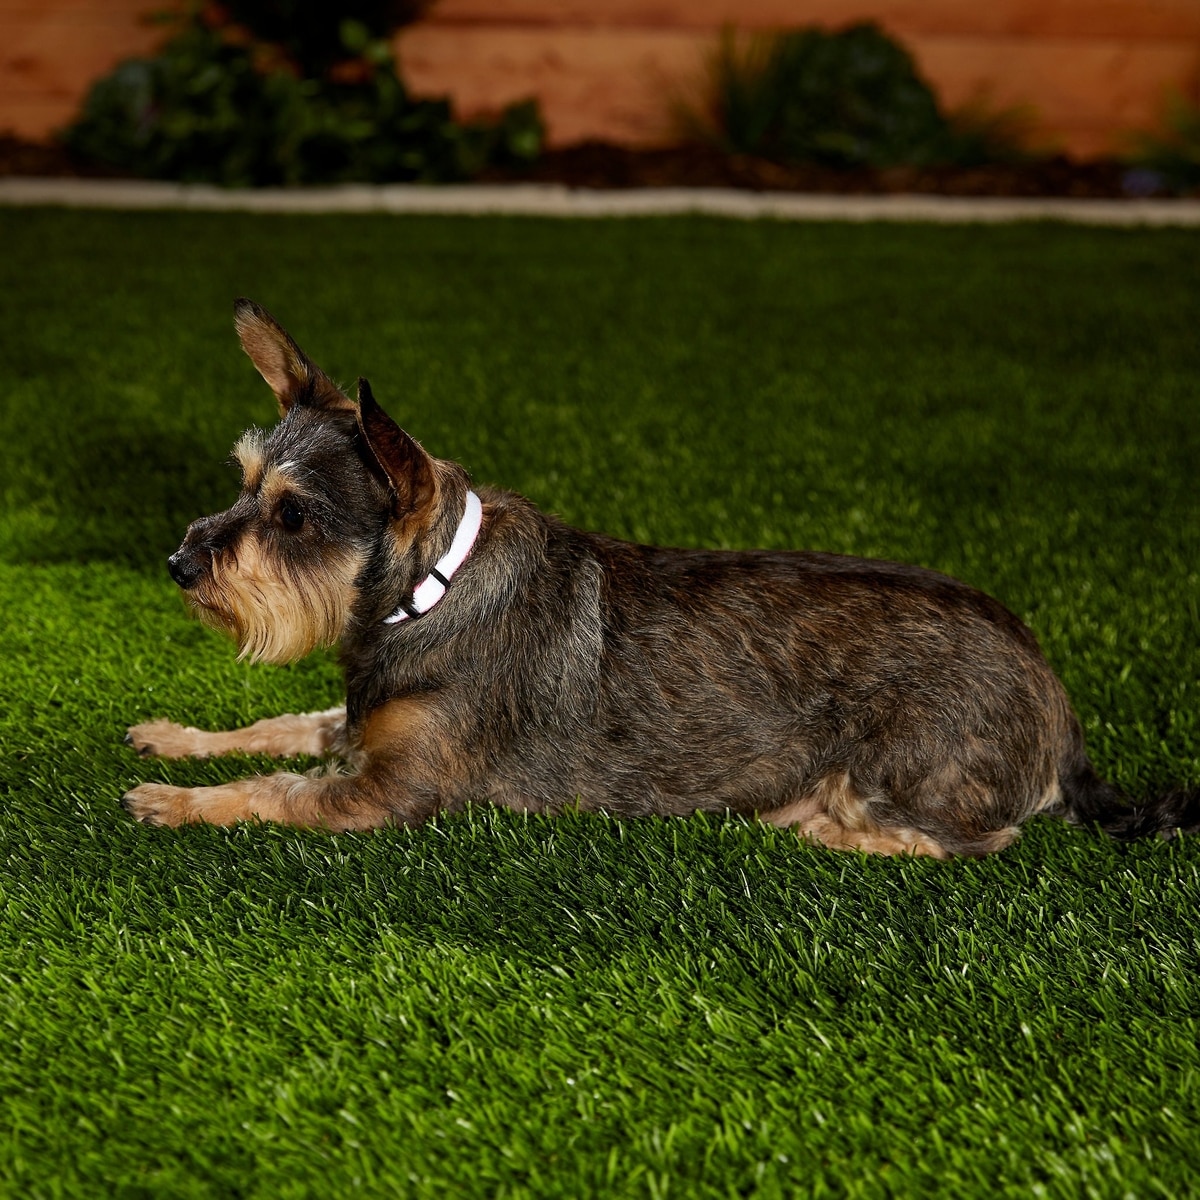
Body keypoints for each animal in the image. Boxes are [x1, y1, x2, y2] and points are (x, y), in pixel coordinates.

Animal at [123, 299, 1200, 856]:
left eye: (294, 517)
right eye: (243, 483)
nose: (177, 563)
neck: (429, 595)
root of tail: (1060, 707)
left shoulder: (390, 793)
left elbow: (277, 791)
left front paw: (176, 801)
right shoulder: (359, 728)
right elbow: (279, 728)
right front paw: (177, 739)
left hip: (905, 766)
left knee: (969, 840)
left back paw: (811, 826)